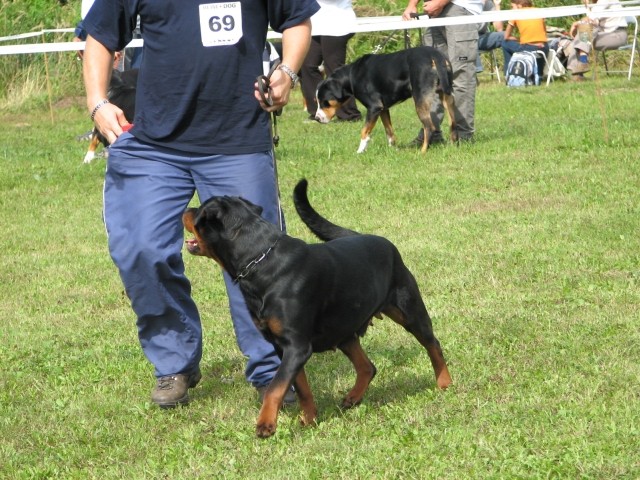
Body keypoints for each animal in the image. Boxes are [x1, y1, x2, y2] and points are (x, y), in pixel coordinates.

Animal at [182, 180, 452, 438]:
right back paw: (354, 397)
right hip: (343, 329)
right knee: (367, 366)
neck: (260, 260)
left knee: (432, 344)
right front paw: (309, 419)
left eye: (199, 211)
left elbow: (275, 387)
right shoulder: (284, 346)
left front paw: (266, 424)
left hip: (409, 309)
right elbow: (301, 388)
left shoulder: (297, 346)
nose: (185, 210)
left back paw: (444, 382)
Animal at [314, 47, 456, 154]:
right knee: (453, 123)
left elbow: (364, 131)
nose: (316, 118)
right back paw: (453, 146)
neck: (351, 76)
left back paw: (422, 152)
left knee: (429, 127)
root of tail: (434, 55)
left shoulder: (374, 107)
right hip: (447, 98)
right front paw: (393, 150)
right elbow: (389, 131)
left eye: (325, 102)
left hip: (420, 99)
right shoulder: (383, 109)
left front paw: (359, 151)